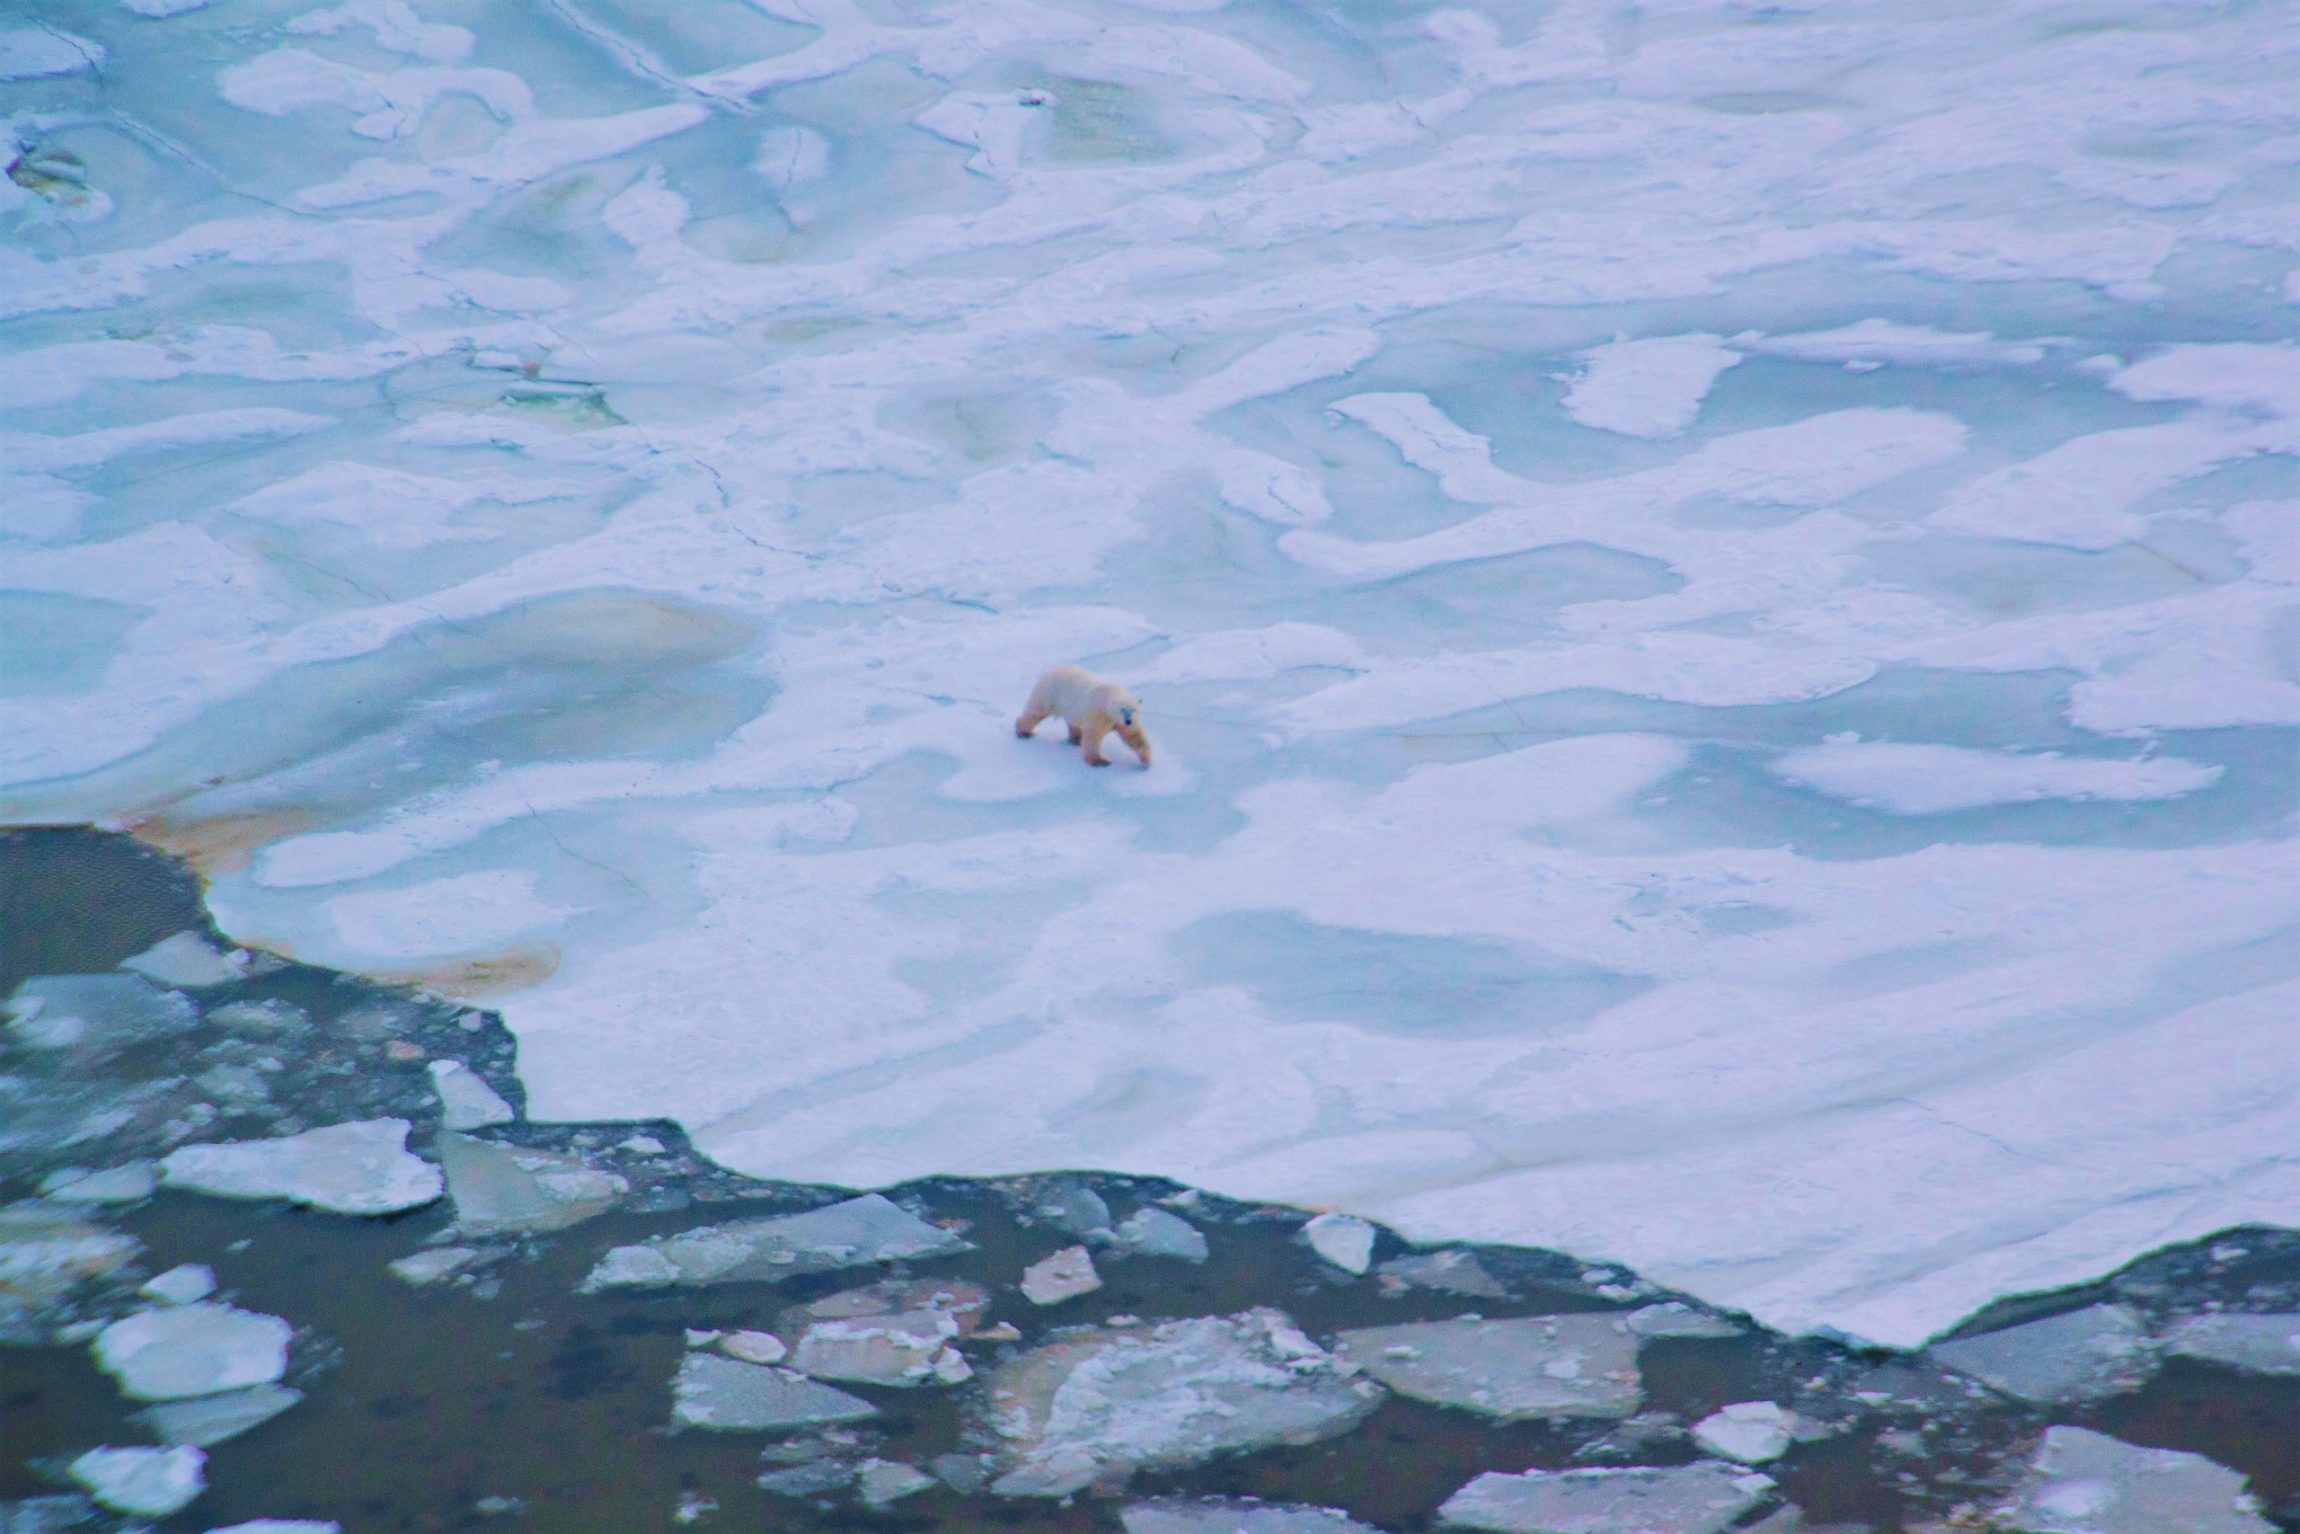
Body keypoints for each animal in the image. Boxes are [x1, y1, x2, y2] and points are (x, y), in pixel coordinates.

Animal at [1015, 664, 1152, 768]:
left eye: (1133, 710)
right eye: (1122, 710)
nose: (1128, 721)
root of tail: (1052, 669)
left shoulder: (1119, 722)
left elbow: (1133, 736)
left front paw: (1146, 761)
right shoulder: (1098, 713)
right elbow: (1093, 736)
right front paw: (1100, 761)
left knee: (1073, 723)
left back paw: (1075, 740)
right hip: (1049, 693)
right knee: (1035, 712)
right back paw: (1023, 732)